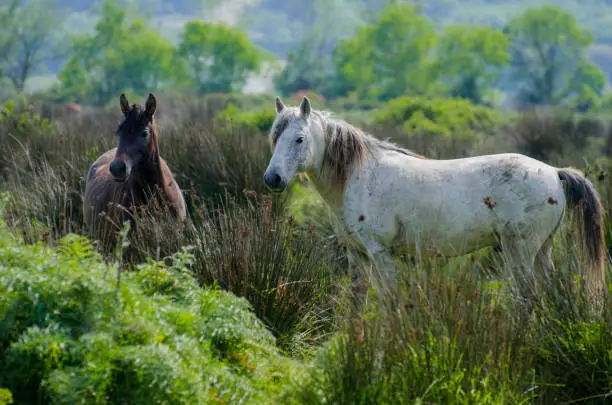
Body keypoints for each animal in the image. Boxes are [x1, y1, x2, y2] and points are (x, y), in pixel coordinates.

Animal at [262, 94, 608, 296]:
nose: (272, 178)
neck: (359, 175)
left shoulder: (380, 254)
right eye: (274, 136)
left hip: (520, 252)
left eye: (299, 139)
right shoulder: (357, 256)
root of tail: (553, 171)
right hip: (541, 250)